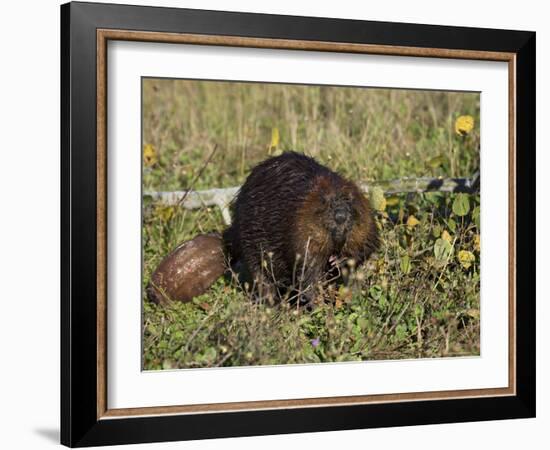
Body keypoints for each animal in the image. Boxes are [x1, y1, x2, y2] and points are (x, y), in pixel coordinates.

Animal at [224, 151, 380, 302]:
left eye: (350, 200)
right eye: (326, 201)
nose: (340, 216)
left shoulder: (367, 223)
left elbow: (367, 246)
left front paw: (339, 260)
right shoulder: (299, 226)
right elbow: (307, 263)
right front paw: (317, 301)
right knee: (261, 275)